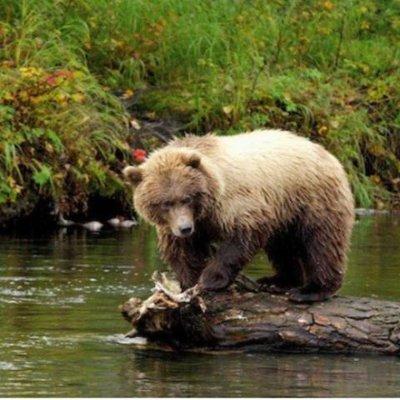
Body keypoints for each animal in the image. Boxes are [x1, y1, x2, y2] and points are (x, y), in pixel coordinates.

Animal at [123, 130, 354, 302]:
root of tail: (327, 153)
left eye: (187, 198)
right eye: (165, 203)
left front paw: (210, 279)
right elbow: (182, 251)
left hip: (311, 198)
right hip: (285, 211)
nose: (184, 228)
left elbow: (242, 236)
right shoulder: (178, 226)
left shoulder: (234, 202)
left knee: (322, 242)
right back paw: (277, 281)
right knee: (282, 246)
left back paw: (311, 290)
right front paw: (189, 282)